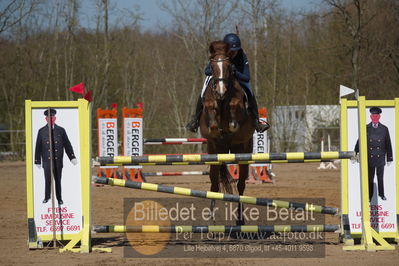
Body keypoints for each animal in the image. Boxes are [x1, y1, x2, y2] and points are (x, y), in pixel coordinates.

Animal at [200, 41, 256, 224]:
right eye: (212, 66)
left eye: (229, 67)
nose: (221, 91)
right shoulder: (210, 102)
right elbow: (209, 104)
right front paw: (215, 127)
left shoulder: (237, 103)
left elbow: (234, 103)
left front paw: (231, 124)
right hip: (214, 153)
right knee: (214, 185)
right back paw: (210, 217)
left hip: (244, 152)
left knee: (240, 186)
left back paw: (240, 218)